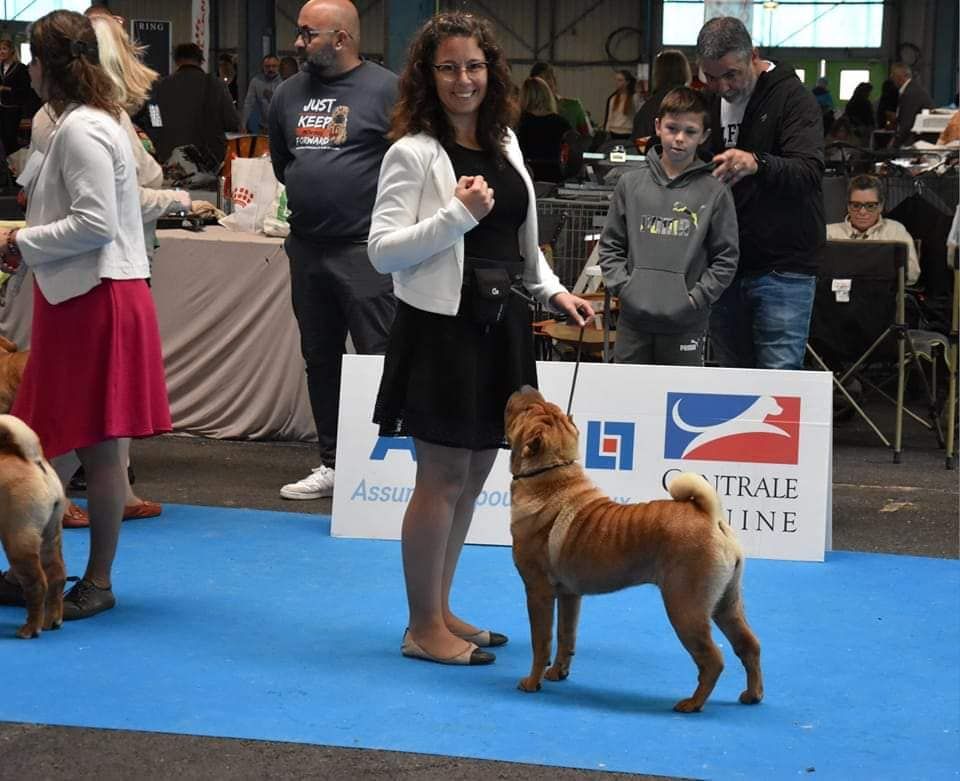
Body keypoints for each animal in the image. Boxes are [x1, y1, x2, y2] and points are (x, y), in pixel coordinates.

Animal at [0, 412, 66, 636]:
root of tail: (34, 461)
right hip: (49, 537)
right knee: (56, 576)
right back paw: (52, 620)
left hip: (18, 540)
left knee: (37, 585)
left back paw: (30, 629)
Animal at [502, 386, 764, 712]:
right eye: (541, 405)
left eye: (528, 410)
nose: (525, 388)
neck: (549, 476)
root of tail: (709, 518)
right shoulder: (569, 594)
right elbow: (566, 636)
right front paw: (558, 672)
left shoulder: (538, 591)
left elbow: (542, 641)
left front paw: (532, 682)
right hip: (725, 604)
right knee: (748, 646)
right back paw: (753, 694)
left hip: (685, 607)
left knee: (712, 660)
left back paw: (692, 704)